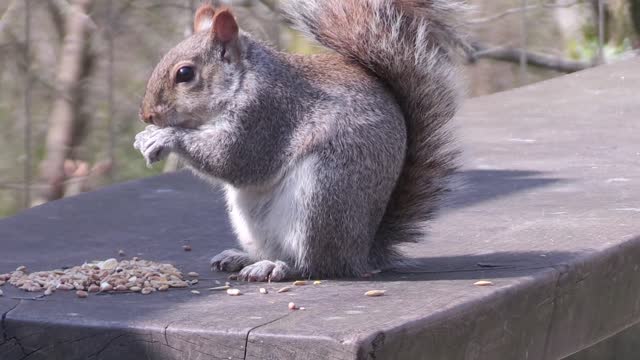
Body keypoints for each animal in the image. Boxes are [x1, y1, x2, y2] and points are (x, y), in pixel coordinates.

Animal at [135, 0, 464, 282]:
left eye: (185, 73)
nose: (146, 115)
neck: (243, 81)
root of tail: (360, 253)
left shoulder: (266, 115)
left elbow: (234, 159)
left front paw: (164, 137)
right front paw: (144, 138)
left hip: (322, 197)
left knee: (315, 266)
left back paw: (276, 267)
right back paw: (242, 258)